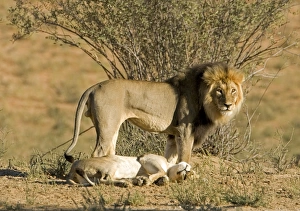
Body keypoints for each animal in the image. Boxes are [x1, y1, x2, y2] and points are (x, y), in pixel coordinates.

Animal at [65, 62, 244, 163]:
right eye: (219, 91)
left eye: (233, 90)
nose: (228, 105)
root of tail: (94, 86)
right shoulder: (185, 131)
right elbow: (185, 157)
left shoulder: (174, 135)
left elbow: (170, 158)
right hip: (107, 126)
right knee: (98, 152)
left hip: (111, 127)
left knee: (109, 150)